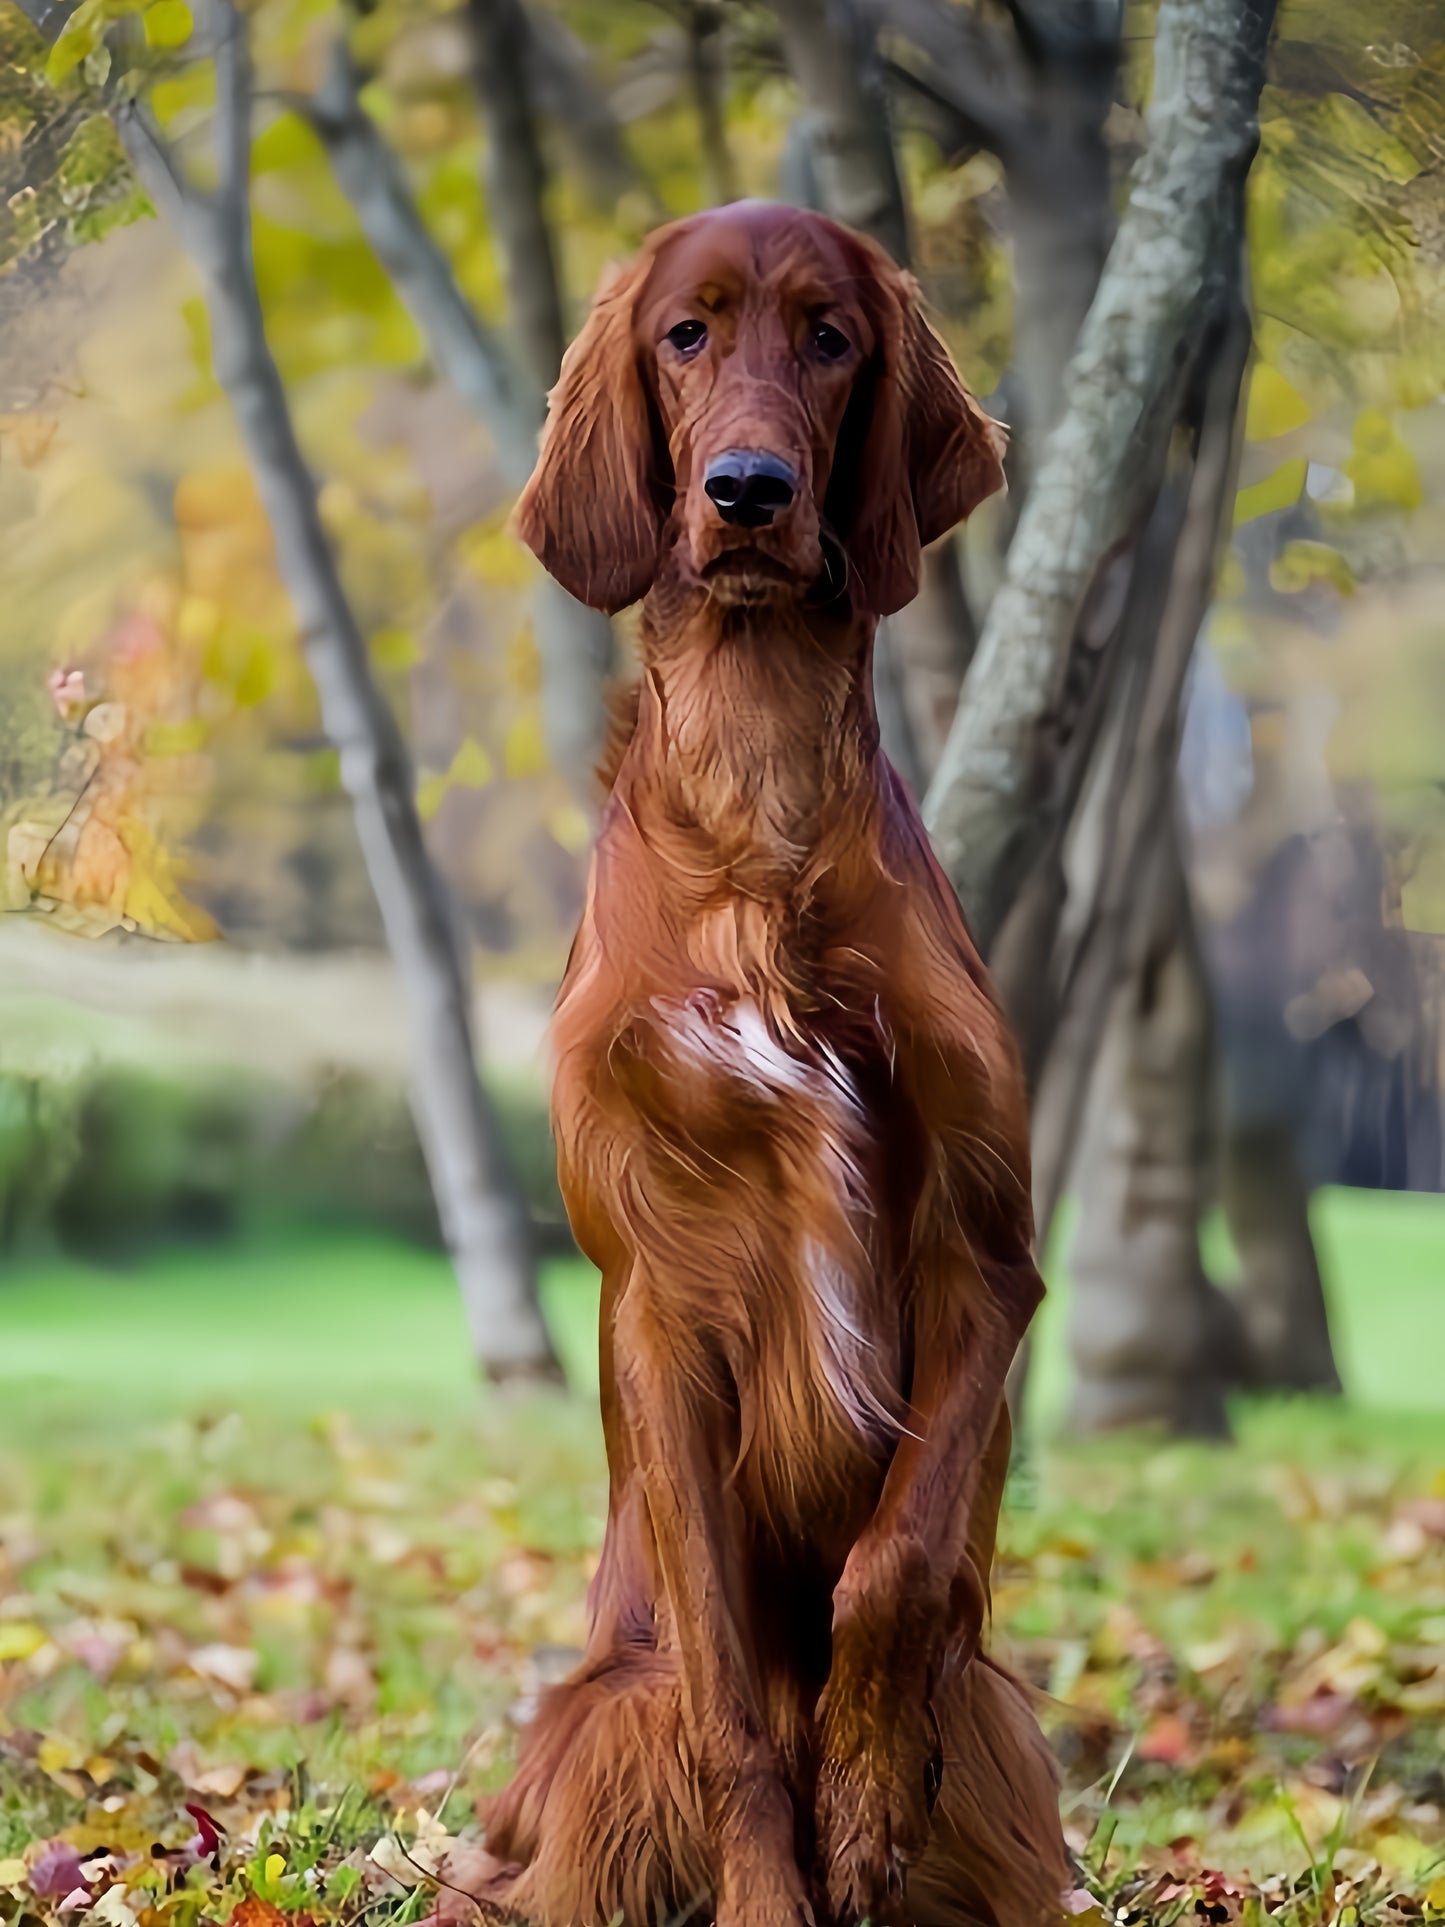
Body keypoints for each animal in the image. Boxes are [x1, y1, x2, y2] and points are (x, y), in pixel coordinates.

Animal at [466, 199, 1078, 1927]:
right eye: (684, 335)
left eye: (829, 337)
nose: (747, 489)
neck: (758, 805)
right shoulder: (654, 1299)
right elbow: (735, 1701)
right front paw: (776, 1884)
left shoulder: (983, 1252)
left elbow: (897, 1559)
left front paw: (861, 1806)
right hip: (599, 1723)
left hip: (998, 1729)